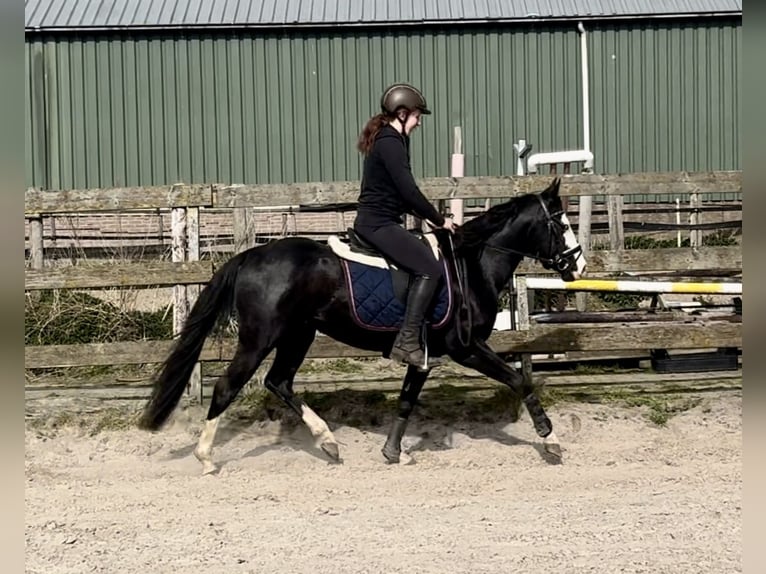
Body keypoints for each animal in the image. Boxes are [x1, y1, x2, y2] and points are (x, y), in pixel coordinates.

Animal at [138, 177, 586, 474]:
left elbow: (406, 399)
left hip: (298, 334)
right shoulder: (467, 348)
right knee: (228, 386)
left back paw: (328, 442)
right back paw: (207, 458)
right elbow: (519, 380)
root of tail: (250, 256)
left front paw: (393, 451)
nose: (578, 266)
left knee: (278, 381)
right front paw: (551, 441)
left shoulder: (424, 355)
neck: (472, 265)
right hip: (259, 339)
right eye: (561, 223)